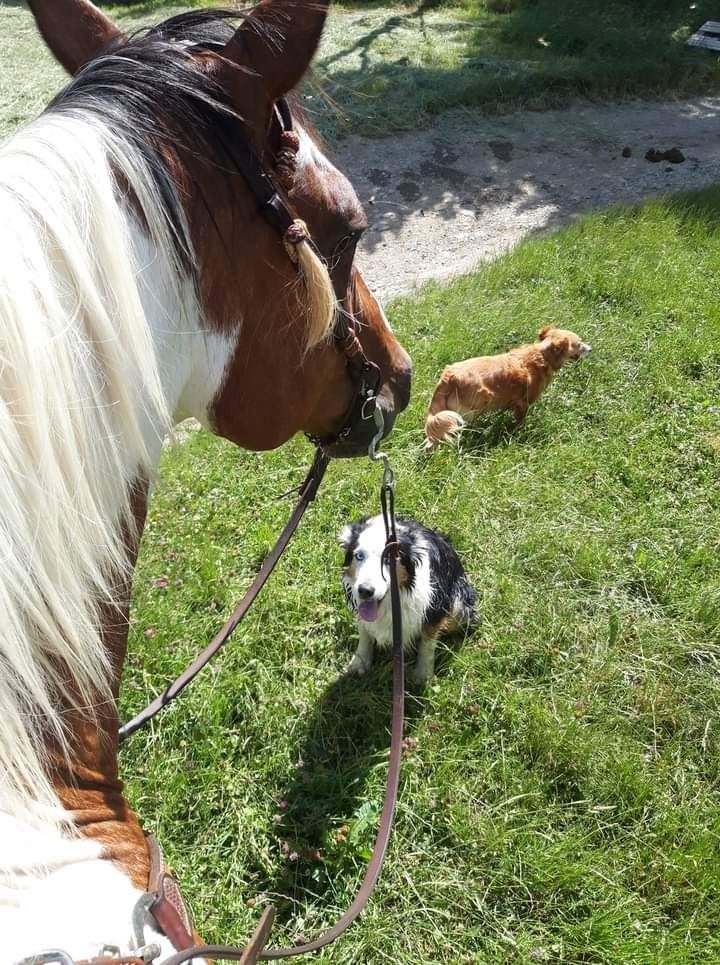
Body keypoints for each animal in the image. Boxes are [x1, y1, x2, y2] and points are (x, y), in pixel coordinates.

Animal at [338, 516, 478, 680]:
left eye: (389, 559)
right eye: (359, 556)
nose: (365, 591)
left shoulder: (435, 607)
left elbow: (427, 642)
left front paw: (423, 674)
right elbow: (364, 631)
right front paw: (360, 662)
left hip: (458, 606)